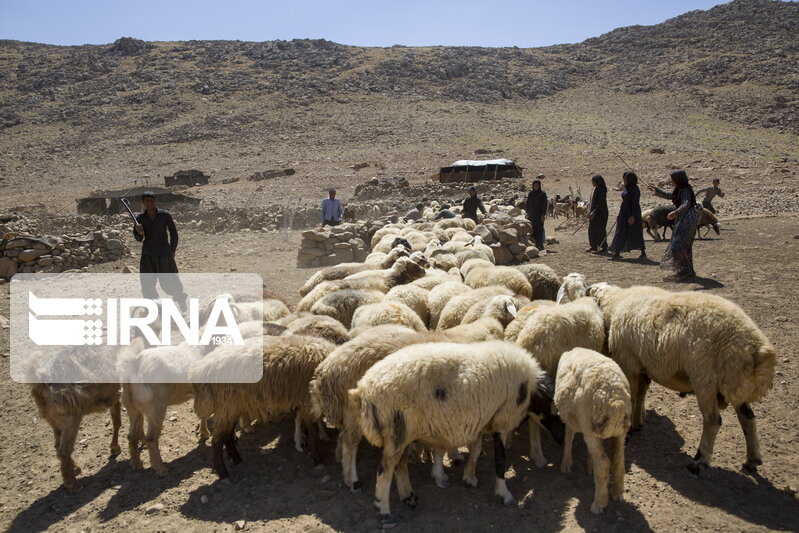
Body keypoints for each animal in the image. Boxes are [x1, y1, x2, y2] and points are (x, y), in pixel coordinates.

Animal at [348, 340, 552, 524]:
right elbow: (500, 458)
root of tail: (363, 389)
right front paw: (504, 494)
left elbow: (475, 450)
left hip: (405, 432)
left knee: (399, 466)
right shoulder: (503, 418)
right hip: (396, 432)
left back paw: (409, 497)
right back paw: (384, 510)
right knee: (385, 469)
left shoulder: (482, 418)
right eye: (550, 405)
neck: (529, 388)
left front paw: (469, 478)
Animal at [556, 348, 632, 512]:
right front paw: (588, 464)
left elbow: (568, 436)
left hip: (591, 428)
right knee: (618, 460)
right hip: (619, 433)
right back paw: (617, 493)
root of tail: (615, 401)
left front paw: (566, 462)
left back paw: (598, 503)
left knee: (603, 463)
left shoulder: (575, 419)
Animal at [592, 284, 776, 472]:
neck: (617, 302)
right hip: (734, 383)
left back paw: (699, 461)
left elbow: (633, 397)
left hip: (705, 380)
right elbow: (641, 395)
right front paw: (637, 423)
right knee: (748, 418)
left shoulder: (629, 362)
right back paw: (752, 459)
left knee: (712, 420)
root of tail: (758, 350)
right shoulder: (643, 366)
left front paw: (629, 430)